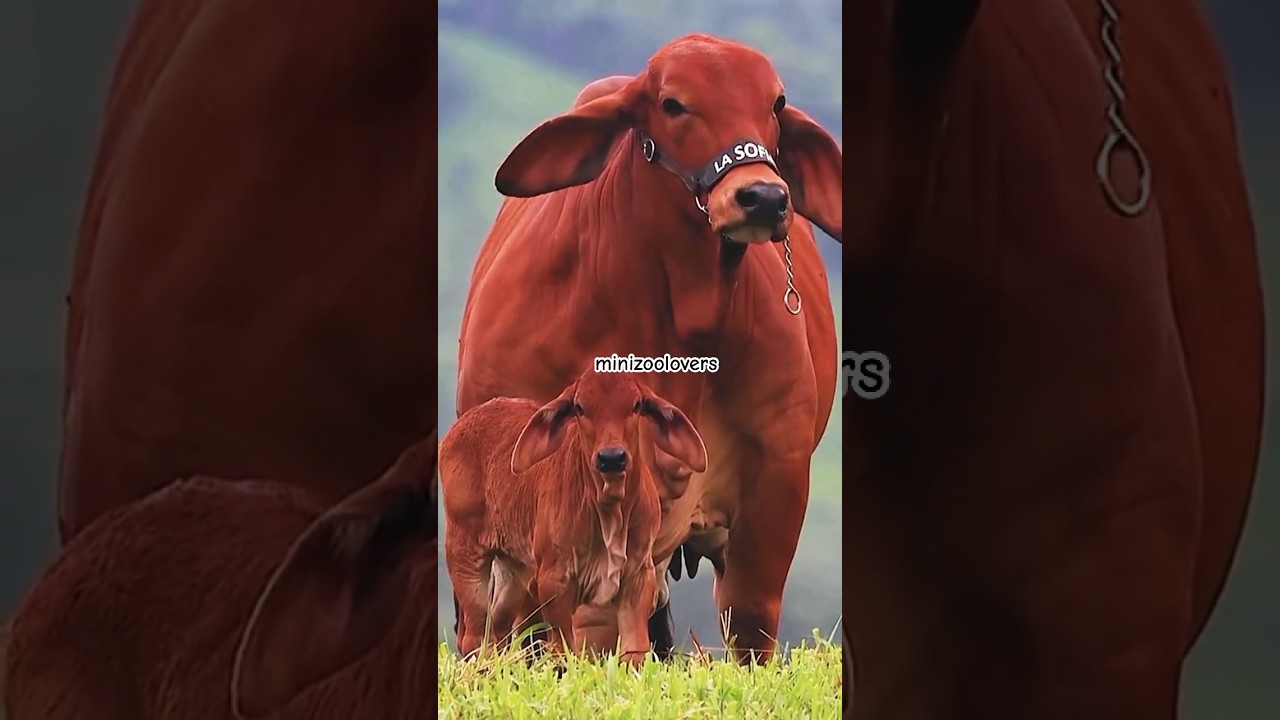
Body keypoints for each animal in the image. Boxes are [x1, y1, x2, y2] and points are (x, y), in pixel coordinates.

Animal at [441, 371, 708, 663]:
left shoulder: (638, 576)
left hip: (513, 566)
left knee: (499, 626)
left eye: (636, 405)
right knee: (474, 636)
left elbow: (635, 650)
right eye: (579, 407)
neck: (609, 511)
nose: (611, 458)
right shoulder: (553, 581)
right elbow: (563, 650)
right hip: (464, 552)